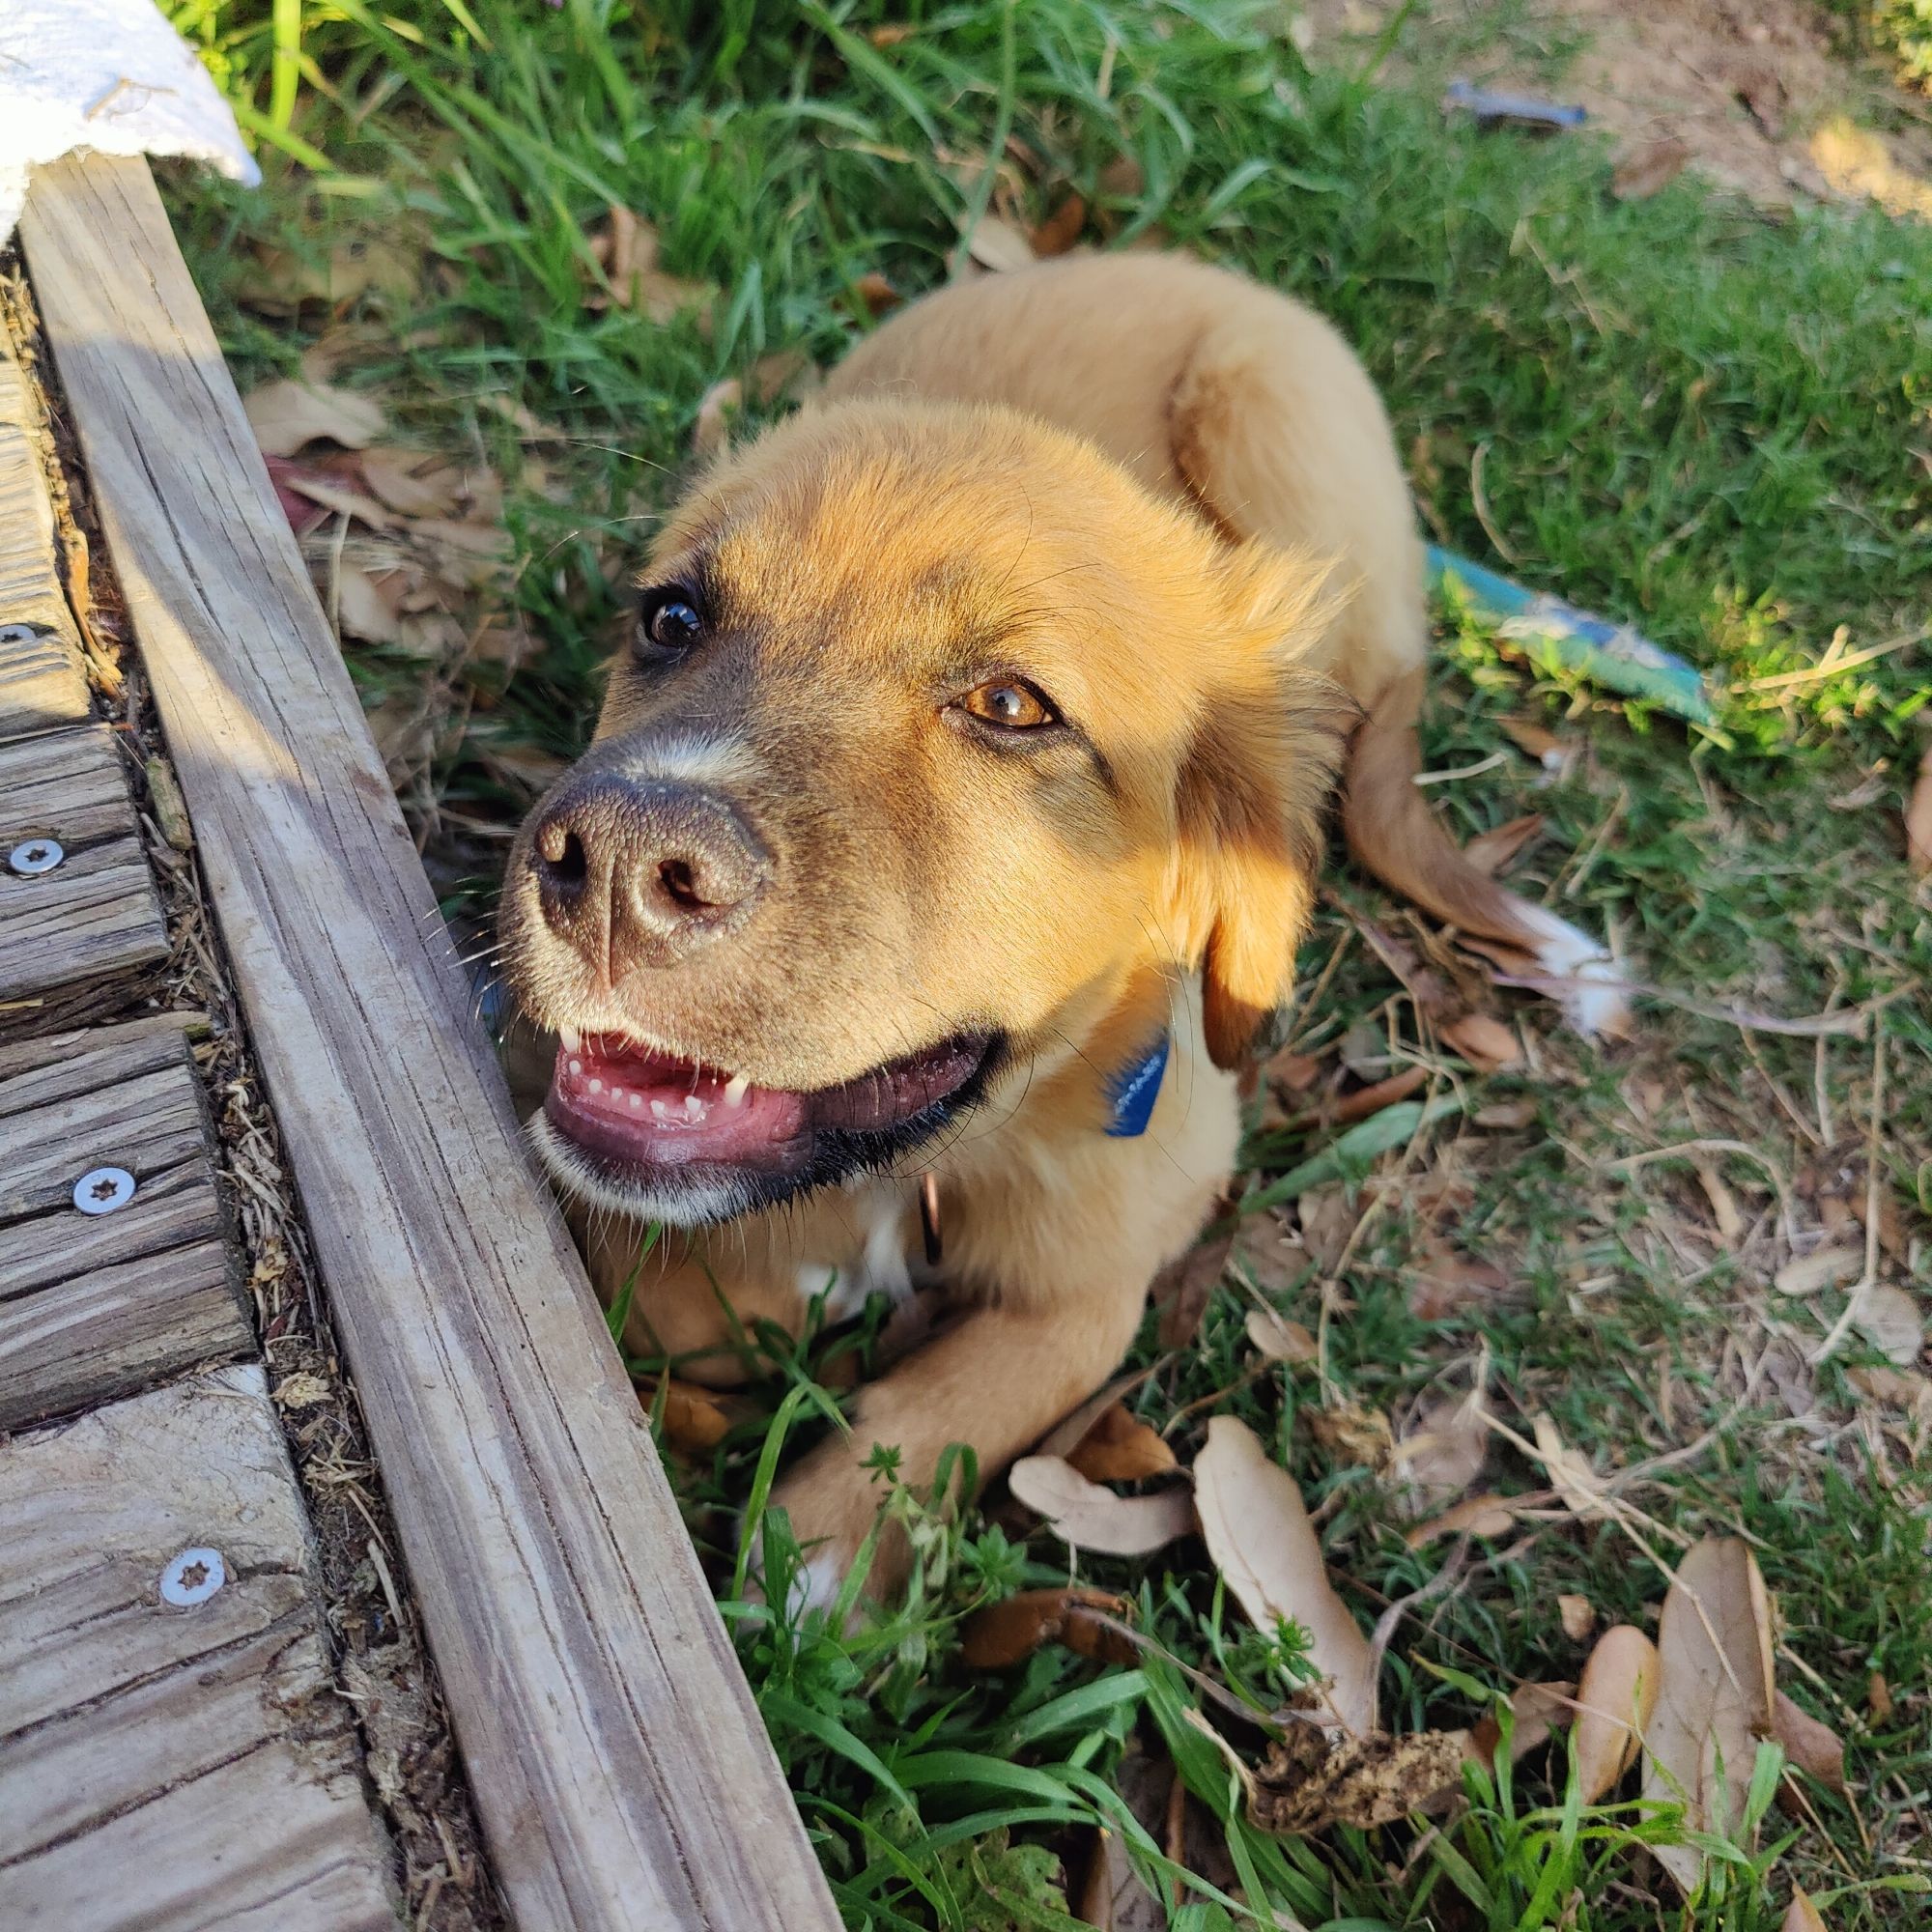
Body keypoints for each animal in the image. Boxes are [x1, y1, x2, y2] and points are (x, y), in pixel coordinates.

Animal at [498, 261, 1615, 1615]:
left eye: (1010, 704)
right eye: (669, 619)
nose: (610, 867)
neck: (936, 1165)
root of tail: (1189, 266)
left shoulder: (1117, 1254)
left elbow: (978, 1382)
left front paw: (825, 1546)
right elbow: (676, 1281)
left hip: (1284, 455)